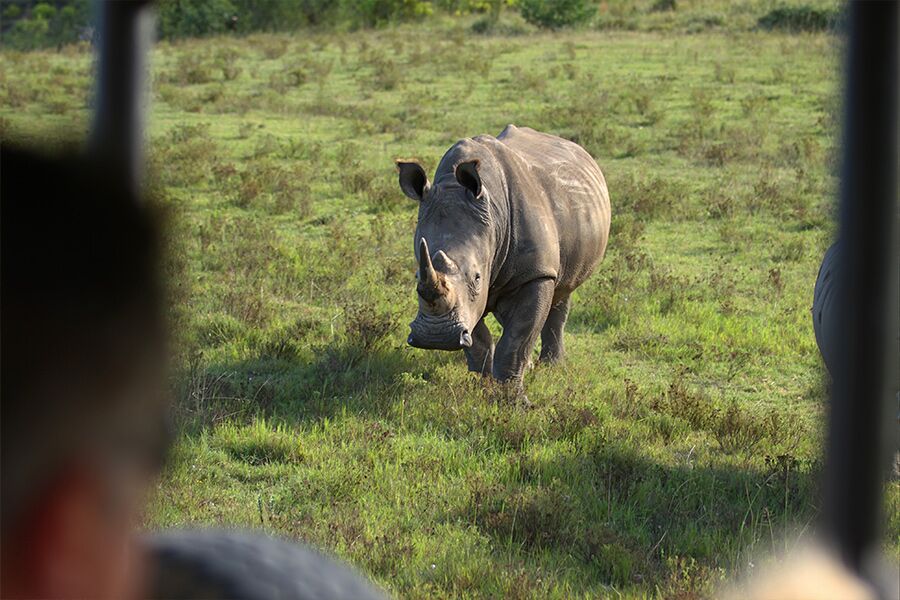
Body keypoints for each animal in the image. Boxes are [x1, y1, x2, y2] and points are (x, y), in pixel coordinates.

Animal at [397, 125, 611, 393]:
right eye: (416, 277)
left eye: (477, 278)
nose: (436, 337)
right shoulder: (469, 299)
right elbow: (479, 338)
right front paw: (485, 385)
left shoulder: (535, 273)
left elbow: (516, 340)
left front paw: (512, 396)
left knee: (562, 290)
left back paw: (552, 366)